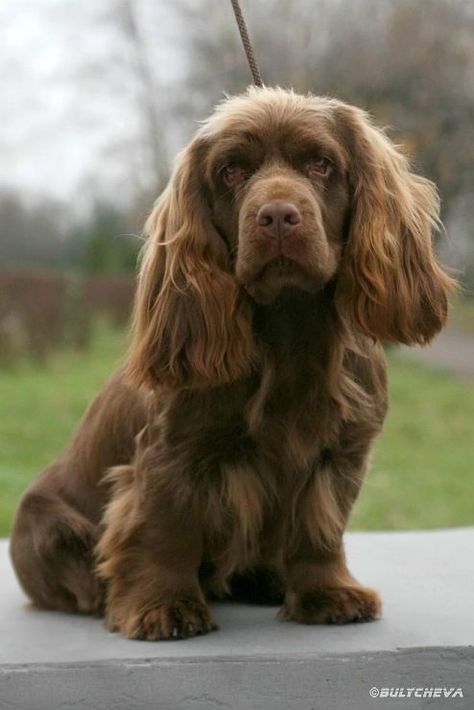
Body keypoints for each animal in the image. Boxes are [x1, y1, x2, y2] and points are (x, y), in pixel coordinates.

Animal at [10, 87, 456, 640]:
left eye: (321, 164)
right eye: (231, 171)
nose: (278, 216)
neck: (290, 327)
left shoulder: (340, 454)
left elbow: (321, 528)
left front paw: (328, 593)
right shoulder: (170, 454)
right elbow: (164, 531)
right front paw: (162, 606)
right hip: (48, 524)